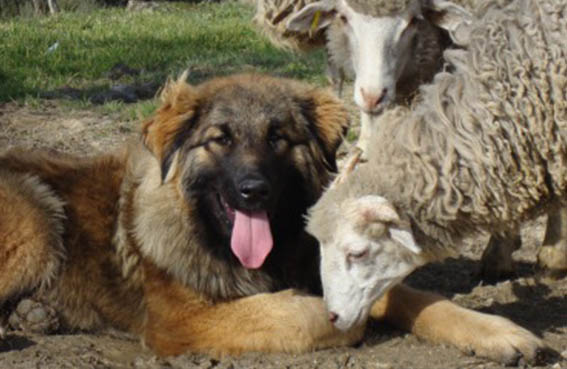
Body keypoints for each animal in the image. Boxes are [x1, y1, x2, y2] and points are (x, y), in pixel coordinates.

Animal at [0, 73, 544, 360]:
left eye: (278, 138)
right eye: (220, 139)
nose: (253, 191)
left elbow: (416, 297)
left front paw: (496, 331)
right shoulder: (183, 320)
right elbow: (303, 315)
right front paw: (344, 323)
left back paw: (35, 314)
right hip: (38, 220)